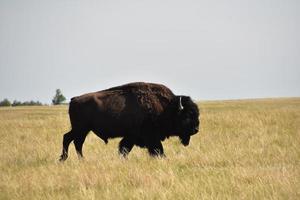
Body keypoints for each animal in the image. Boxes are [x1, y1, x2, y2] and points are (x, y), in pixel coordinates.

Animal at [59, 81, 199, 161]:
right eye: (187, 116)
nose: (196, 129)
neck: (167, 108)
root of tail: (74, 99)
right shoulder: (149, 137)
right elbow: (157, 149)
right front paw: (164, 158)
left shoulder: (131, 137)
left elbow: (124, 148)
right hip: (81, 129)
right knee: (73, 140)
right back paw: (71, 159)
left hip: (81, 129)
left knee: (72, 140)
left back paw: (72, 159)